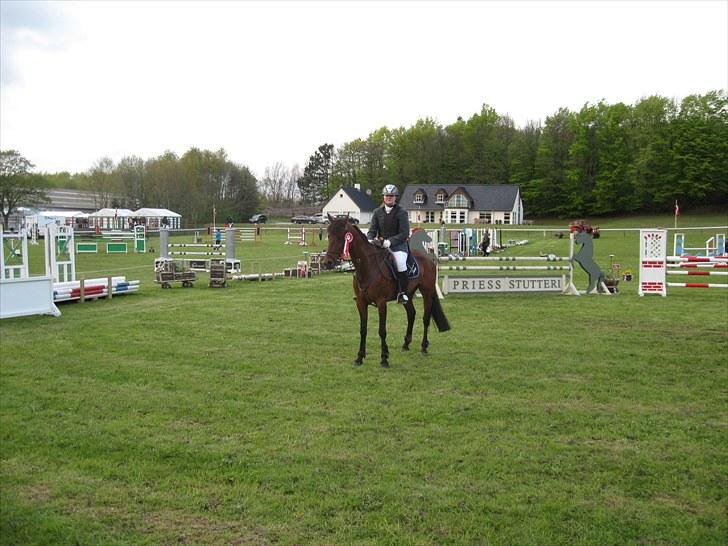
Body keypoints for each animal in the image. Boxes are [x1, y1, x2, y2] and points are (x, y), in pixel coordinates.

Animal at [322, 216, 450, 368]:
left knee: (425, 318)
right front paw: (359, 357)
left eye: (342, 236)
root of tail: (428, 257)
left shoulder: (381, 303)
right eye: (329, 235)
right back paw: (406, 344)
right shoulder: (361, 303)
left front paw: (384, 358)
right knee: (411, 314)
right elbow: (363, 330)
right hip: (408, 295)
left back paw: (424, 347)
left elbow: (382, 331)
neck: (367, 266)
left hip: (427, 292)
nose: (327, 263)